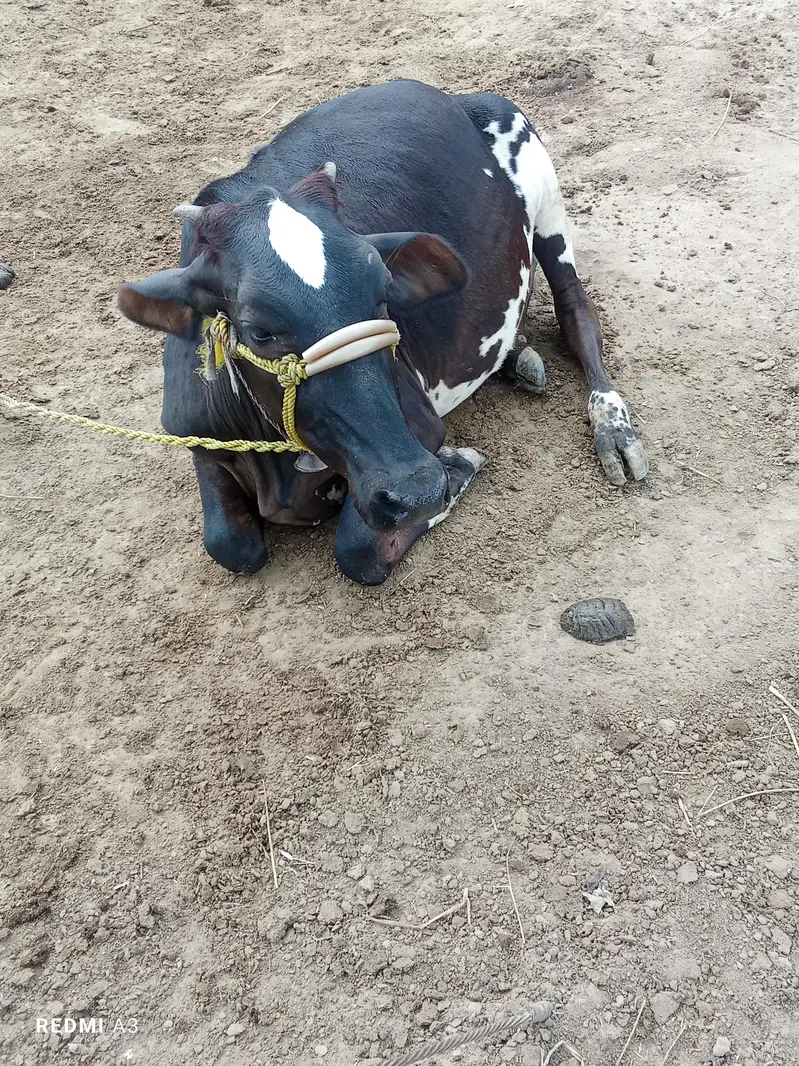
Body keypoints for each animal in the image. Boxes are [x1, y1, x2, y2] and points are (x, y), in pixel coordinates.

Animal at [118, 79, 647, 585]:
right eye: (258, 331)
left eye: (382, 292)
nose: (416, 488)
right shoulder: (195, 437)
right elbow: (230, 545)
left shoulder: (419, 431)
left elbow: (358, 550)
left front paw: (458, 466)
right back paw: (518, 362)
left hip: (544, 195)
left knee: (577, 315)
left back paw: (612, 428)